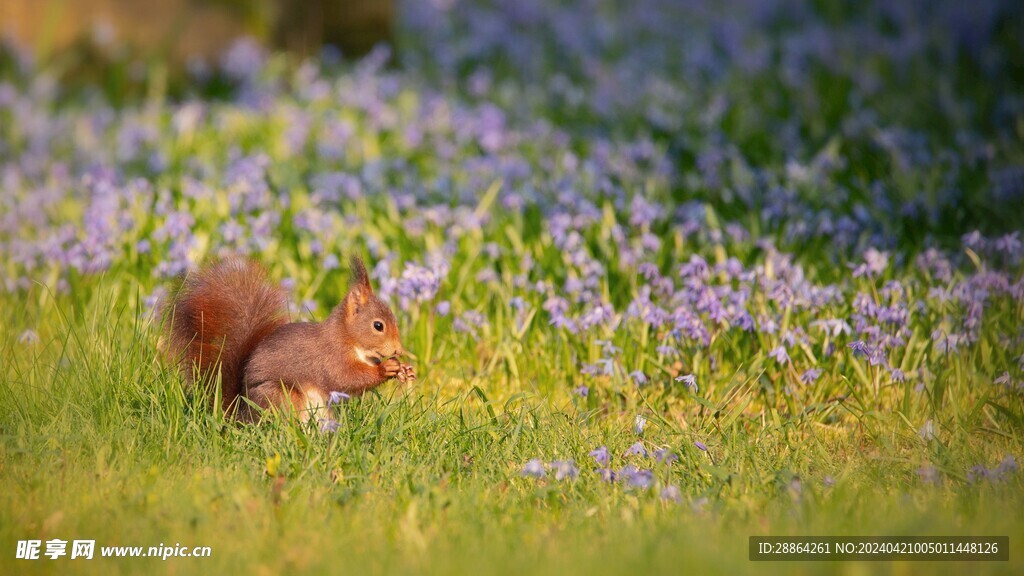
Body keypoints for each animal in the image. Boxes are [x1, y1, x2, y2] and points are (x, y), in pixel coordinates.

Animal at [161, 255, 413, 422]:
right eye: (378, 325)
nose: (398, 350)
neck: (350, 340)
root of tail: (240, 416)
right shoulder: (331, 357)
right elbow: (346, 378)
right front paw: (386, 369)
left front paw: (404, 370)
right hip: (283, 397)